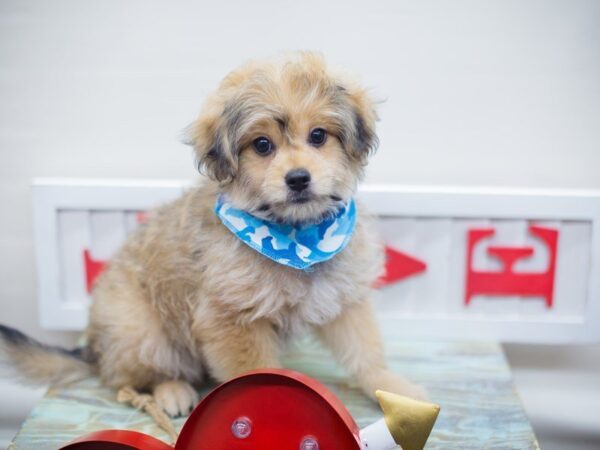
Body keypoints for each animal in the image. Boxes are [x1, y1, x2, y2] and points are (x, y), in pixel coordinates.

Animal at [0, 52, 424, 418]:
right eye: (262, 145)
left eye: (319, 136)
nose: (298, 179)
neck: (297, 236)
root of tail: (94, 349)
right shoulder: (233, 322)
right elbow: (255, 373)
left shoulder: (344, 299)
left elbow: (365, 352)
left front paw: (393, 388)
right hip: (141, 331)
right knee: (129, 378)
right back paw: (171, 391)